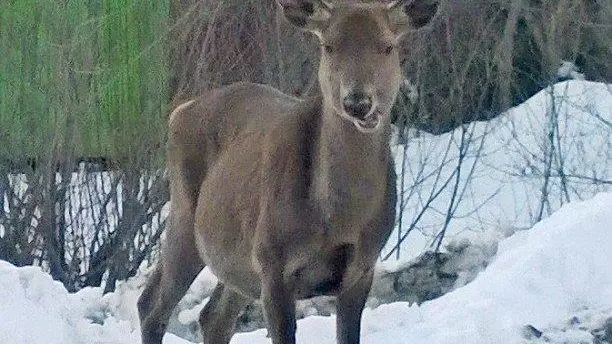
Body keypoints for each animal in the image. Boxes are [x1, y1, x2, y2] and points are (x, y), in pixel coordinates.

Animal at [136, 1, 438, 342]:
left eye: (387, 46)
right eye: (328, 46)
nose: (358, 102)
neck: (339, 218)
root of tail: (180, 111)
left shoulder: (363, 267)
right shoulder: (273, 262)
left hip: (237, 257)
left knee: (213, 316)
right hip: (186, 216)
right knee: (152, 304)